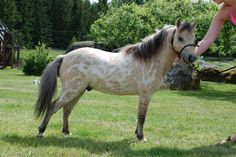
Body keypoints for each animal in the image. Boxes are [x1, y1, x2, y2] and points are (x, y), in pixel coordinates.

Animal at [34, 19, 197, 141]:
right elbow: (142, 116)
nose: (192, 58)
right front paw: (141, 137)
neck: (148, 60)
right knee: (53, 106)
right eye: (180, 38)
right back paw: (41, 131)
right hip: (71, 90)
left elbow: (139, 116)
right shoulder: (146, 94)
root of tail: (65, 56)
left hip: (78, 91)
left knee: (66, 109)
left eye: (194, 39)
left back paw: (67, 132)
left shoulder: (143, 96)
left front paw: (136, 134)